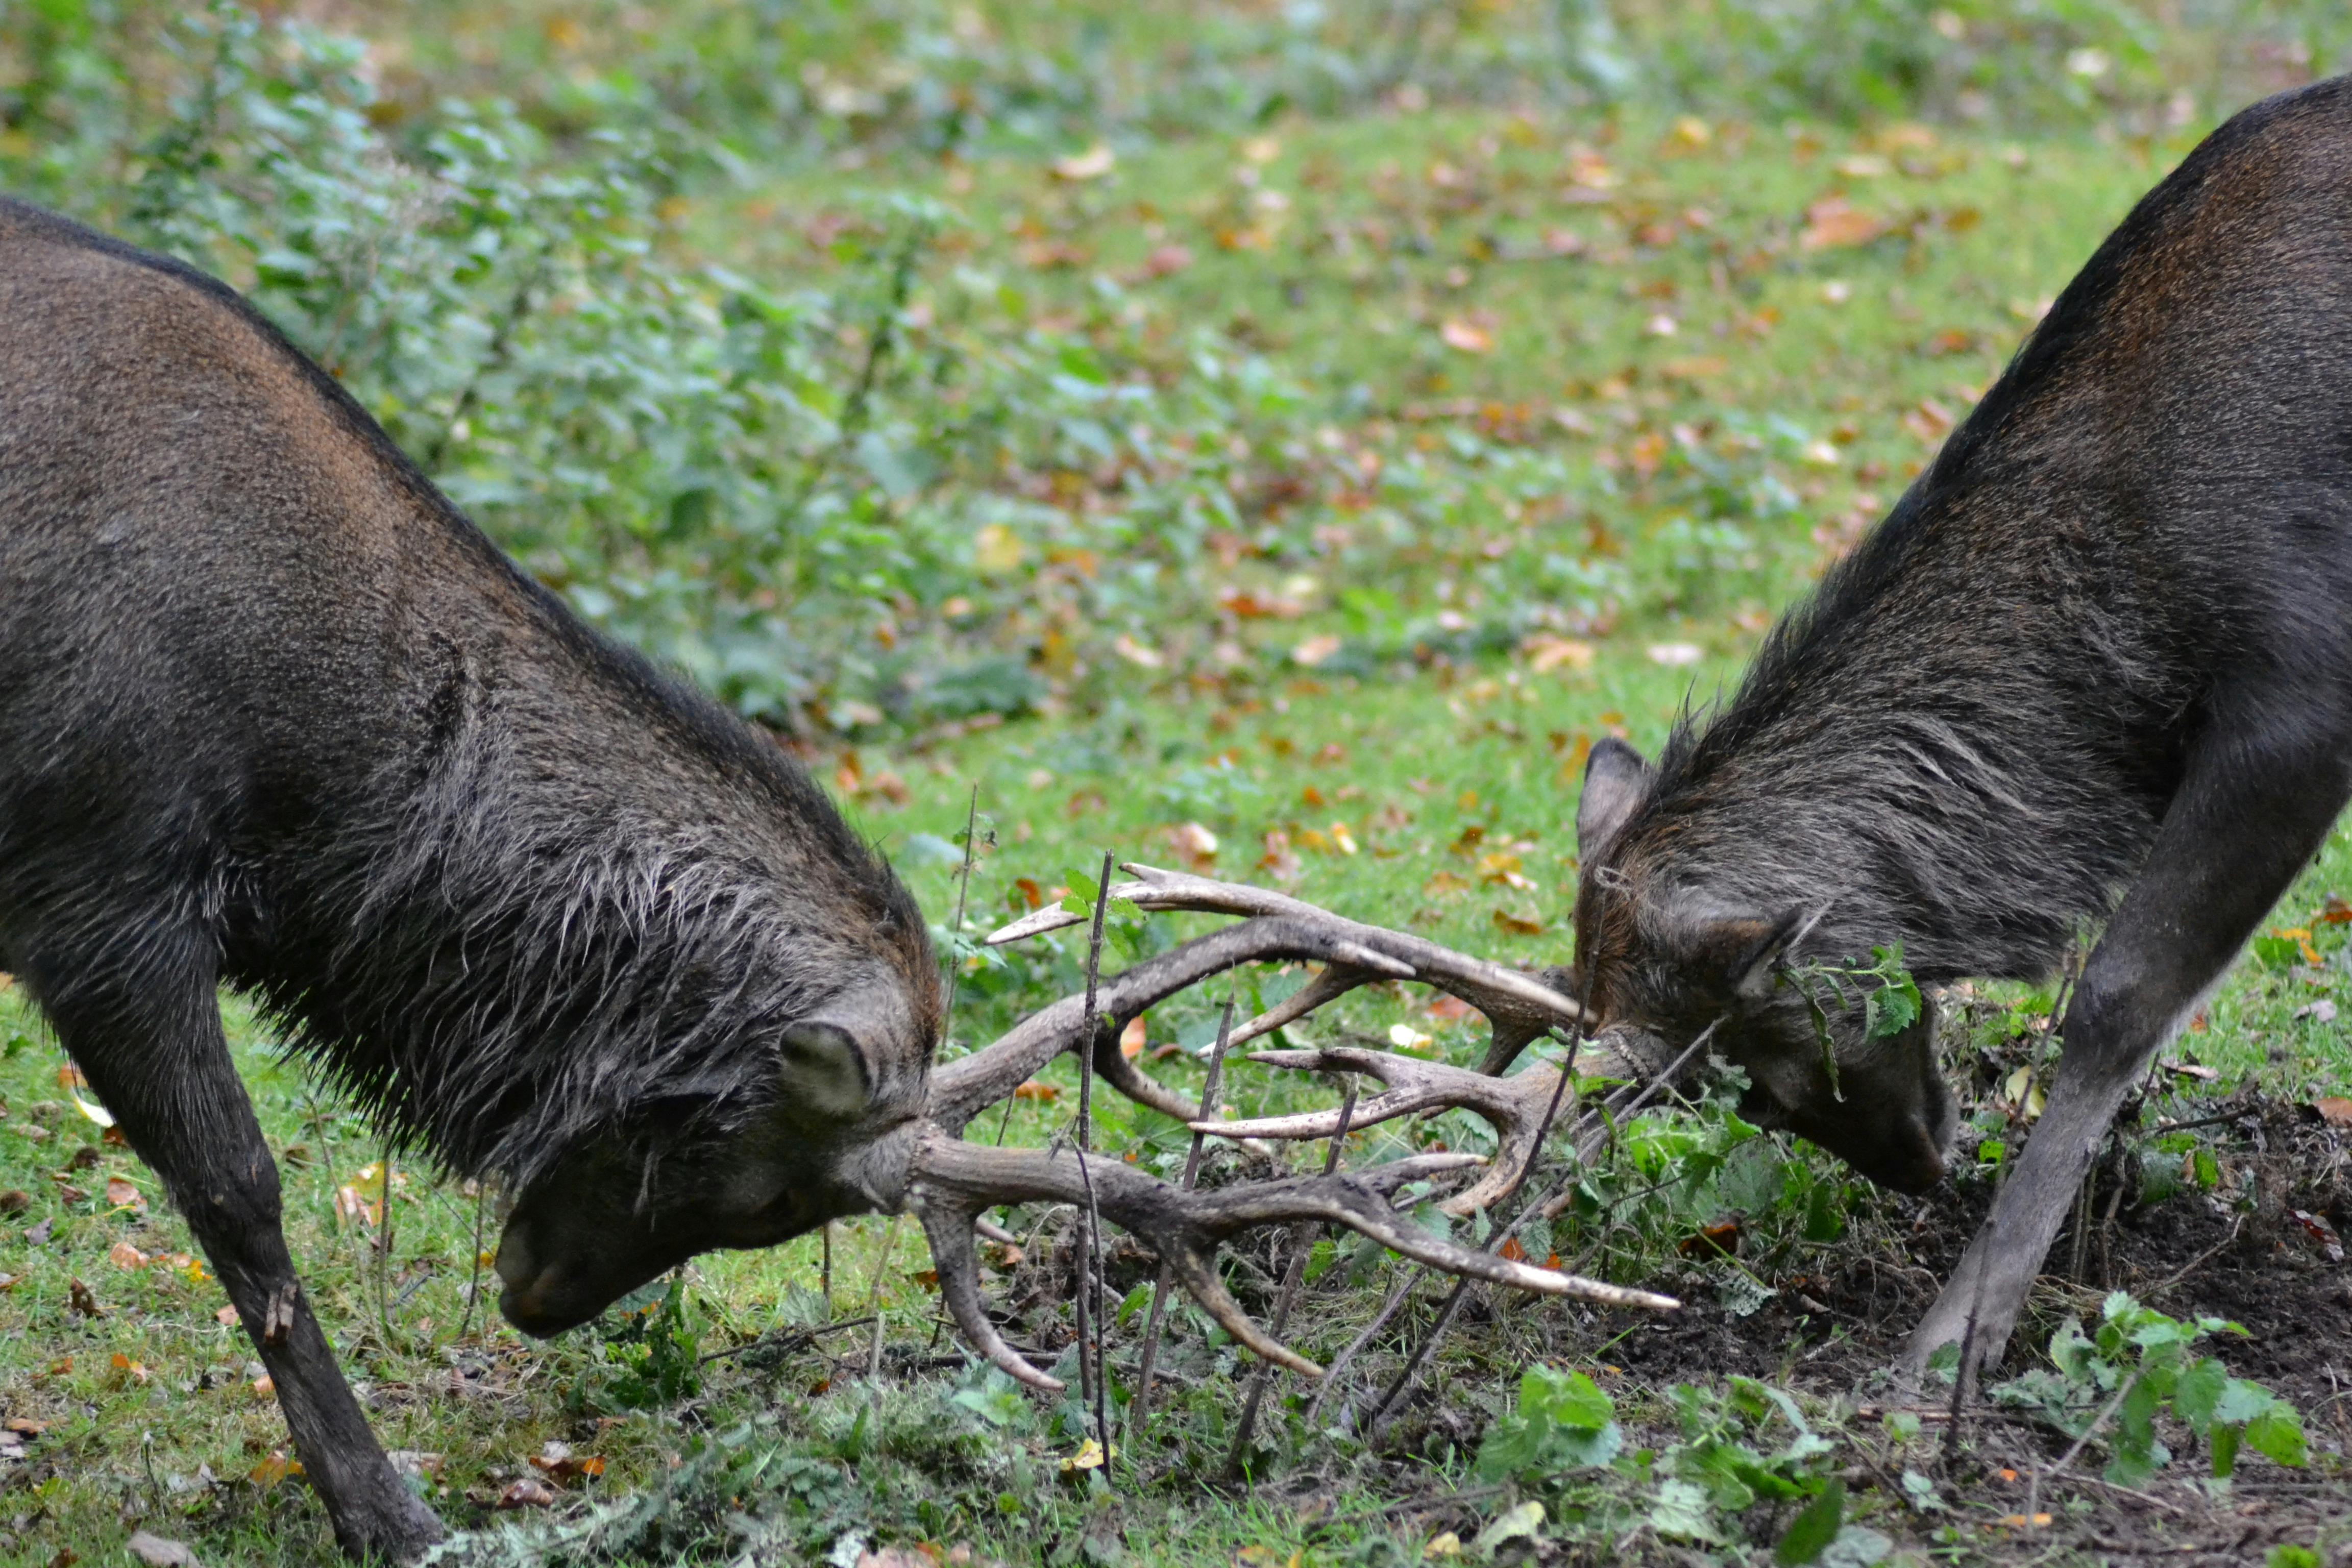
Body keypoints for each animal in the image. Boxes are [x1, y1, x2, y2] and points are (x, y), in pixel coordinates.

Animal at [0, 202, 1665, 1561]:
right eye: (752, 1166)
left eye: (762, 1207)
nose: (531, 1290)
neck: (316, 781)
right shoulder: (99, 886)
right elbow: (244, 1197)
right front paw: (386, 1511)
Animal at [1533, 76, 2352, 1382]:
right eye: (1731, 1080)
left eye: (1769, 1036)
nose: (1917, 1168)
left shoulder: (2303, 692)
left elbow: (2116, 993)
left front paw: (1954, 1342)